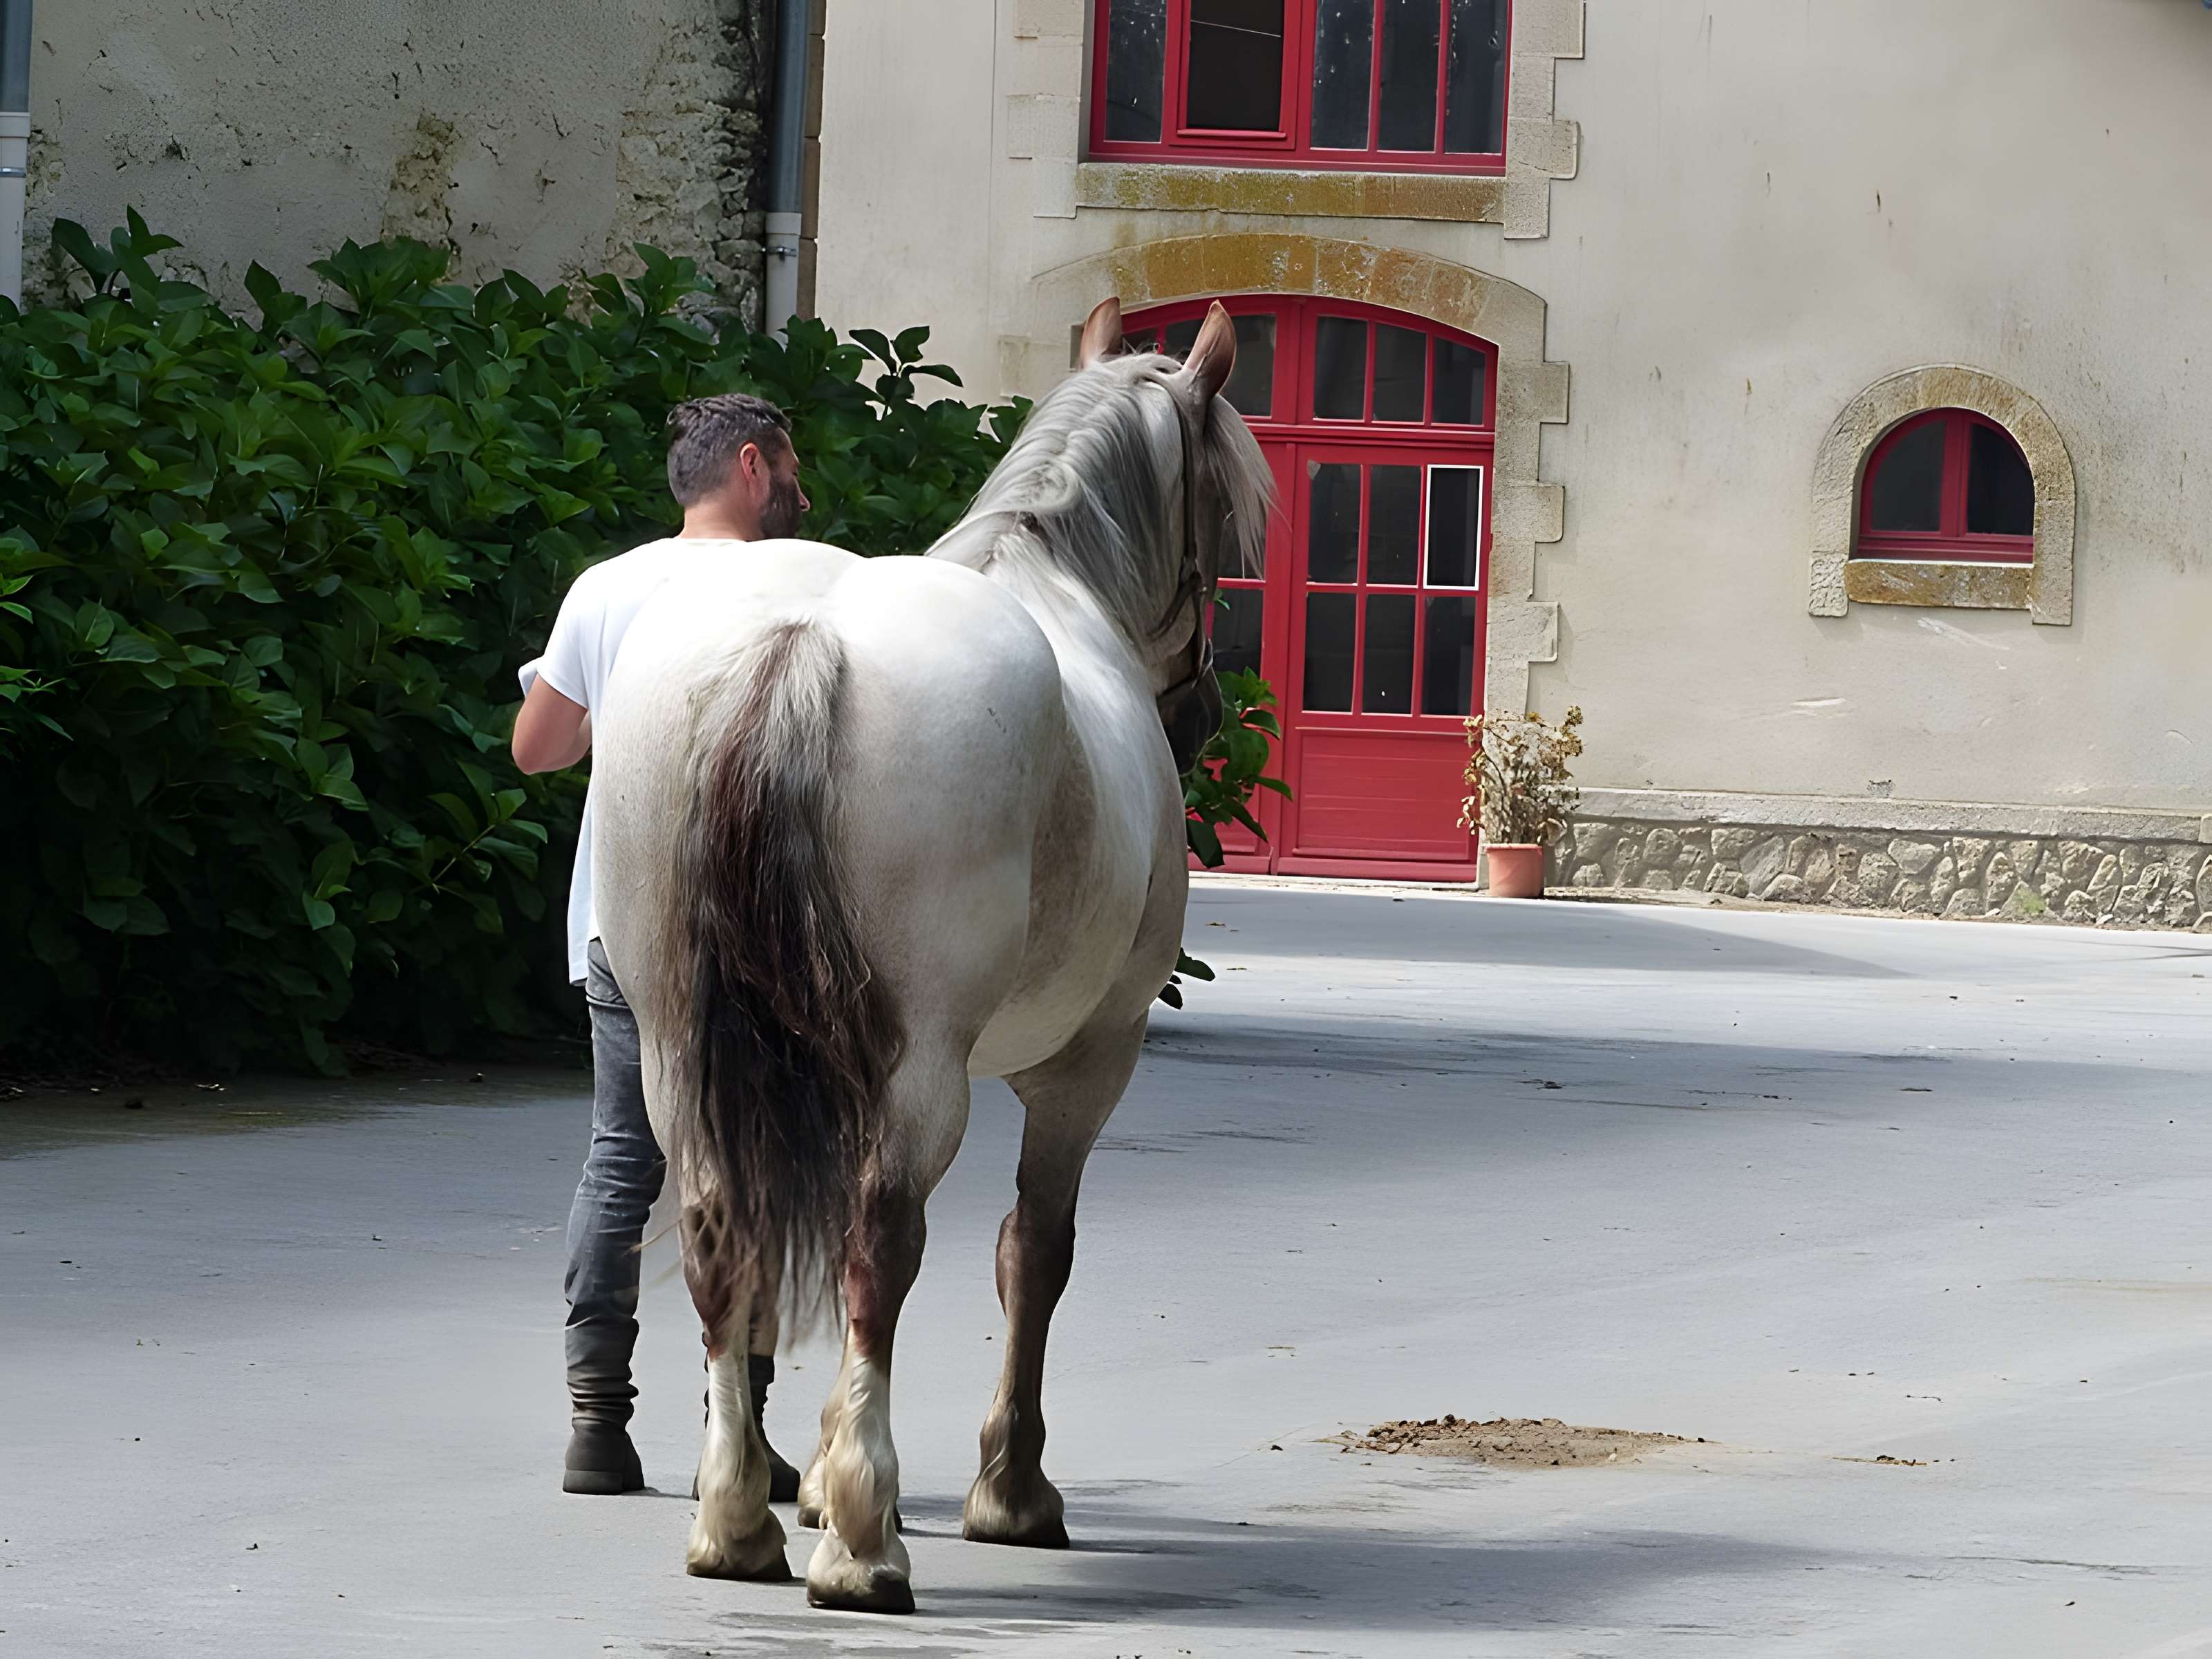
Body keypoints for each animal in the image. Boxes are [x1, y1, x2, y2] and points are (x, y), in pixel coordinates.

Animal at [589, 298, 1272, 1613]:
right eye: (1221, 505)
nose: (1203, 709)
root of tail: (802, 641)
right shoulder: (1092, 1060)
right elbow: (1033, 1255)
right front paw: (1008, 1492)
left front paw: (814, 1480)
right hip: (921, 1072)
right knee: (878, 1249)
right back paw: (863, 1547)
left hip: (675, 1055)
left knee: (718, 1237)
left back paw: (738, 1522)